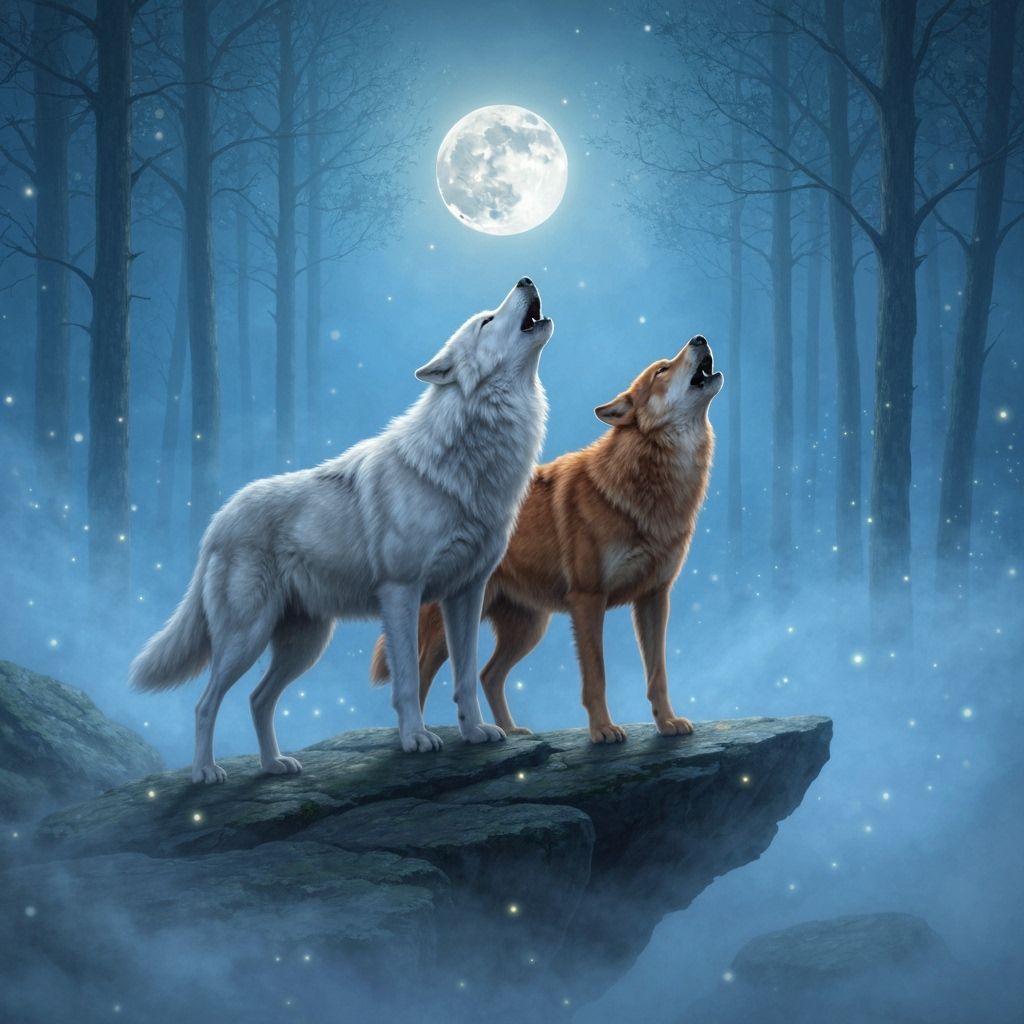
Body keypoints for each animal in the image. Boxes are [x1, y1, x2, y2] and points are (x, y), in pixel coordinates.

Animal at [131, 278, 552, 783]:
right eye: (487, 320)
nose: (526, 279)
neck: (468, 462)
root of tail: (215, 522)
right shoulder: (401, 592)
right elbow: (407, 679)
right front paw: (415, 739)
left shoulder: (466, 593)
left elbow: (466, 676)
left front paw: (474, 733)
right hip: (245, 637)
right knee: (204, 703)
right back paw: (205, 773)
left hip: (305, 643)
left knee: (257, 699)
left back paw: (274, 765)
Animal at [371, 336, 722, 743]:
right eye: (662, 370)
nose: (699, 338)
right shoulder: (588, 599)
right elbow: (596, 675)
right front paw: (603, 730)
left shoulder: (654, 597)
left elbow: (658, 673)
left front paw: (667, 723)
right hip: (456, 627)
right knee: (424, 672)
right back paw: (420, 739)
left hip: (529, 629)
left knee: (488, 675)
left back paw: (511, 731)